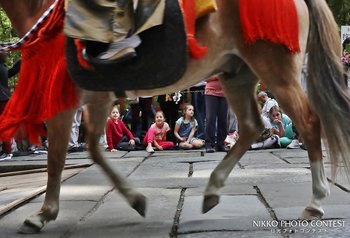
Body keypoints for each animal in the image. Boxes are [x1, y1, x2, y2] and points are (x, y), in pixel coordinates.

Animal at [0, 0, 350, 233]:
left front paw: (43, 213)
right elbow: (94, 150)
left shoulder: (65, 99)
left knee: (308, 123)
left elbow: (57, 156)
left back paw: (316, 201)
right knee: (252, 126)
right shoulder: (98, 97)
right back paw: (212, 190)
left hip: (276, 68)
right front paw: (135, 199)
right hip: (237, 72)